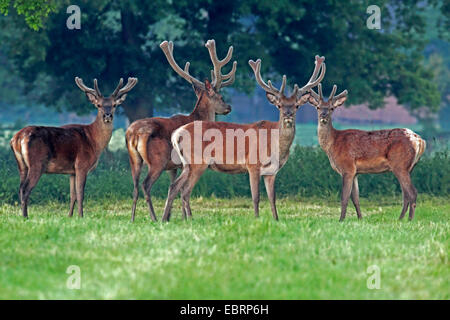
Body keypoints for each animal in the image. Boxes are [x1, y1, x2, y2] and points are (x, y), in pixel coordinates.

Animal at [10, 77, 137, 218]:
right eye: (98, 105)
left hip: (22, 165)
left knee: (20, 188)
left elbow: (73, 195)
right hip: (37, 163)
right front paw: (81, 216)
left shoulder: (72, 171)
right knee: (25, 189)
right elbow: (81, 194)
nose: (107, 116)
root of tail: (18, 138)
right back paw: (25, 216)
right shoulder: (82, 165)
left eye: (114, 105)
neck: (93, 141)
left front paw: (70, 216)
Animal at [125, 38, 237, 221]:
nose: (229, 107)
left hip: (134, 159)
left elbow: (174, 187)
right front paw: (182, 217)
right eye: (221, 97)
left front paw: (172, 216)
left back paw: (133, 219)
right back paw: (154, 218)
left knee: (134, 187)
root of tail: (133, 134)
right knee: (145, 185)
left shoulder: (174, 165)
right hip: (158, 161)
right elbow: (179, 189)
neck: (197, 118)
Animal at [162, 55, 326, 221]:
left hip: (187, 164)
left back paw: (165, 219)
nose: (288, 115)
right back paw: (190, 219)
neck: (275, 146)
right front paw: (257, 219)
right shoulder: (252, 164)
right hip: (197, 162)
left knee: (174, 186)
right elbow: (256, 197)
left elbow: (272, 198)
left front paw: (276, 220)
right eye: (279, 105)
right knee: (185, 190)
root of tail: (177, 133)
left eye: (296, 105)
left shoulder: (271, 172)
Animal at [308, 84, 428, 221]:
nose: (323, 116)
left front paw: (341, 220)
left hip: (400, 165)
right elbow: (355, 198)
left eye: (331, 108)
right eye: (318, 107)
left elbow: (344, 197)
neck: (333, 145)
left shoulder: (347, 167)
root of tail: (420, 140)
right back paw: (400, 219)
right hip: (409, 167)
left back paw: (409, 220)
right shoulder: (355, 172)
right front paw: (360, 218)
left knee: (412, 192)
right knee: (406, 194)